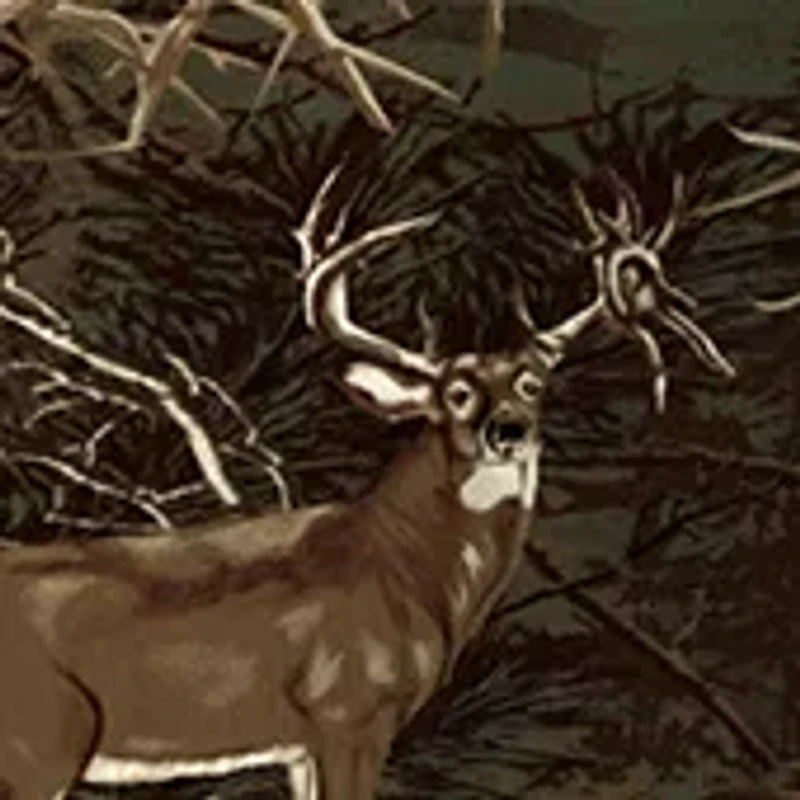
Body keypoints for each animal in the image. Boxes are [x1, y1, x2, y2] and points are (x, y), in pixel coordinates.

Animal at [0, 166, 612, 800]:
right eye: (457, 393)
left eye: (532, 384)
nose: (509, 430)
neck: (408, 565)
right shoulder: (349, 711)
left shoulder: (301, 744)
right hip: (40, 741)